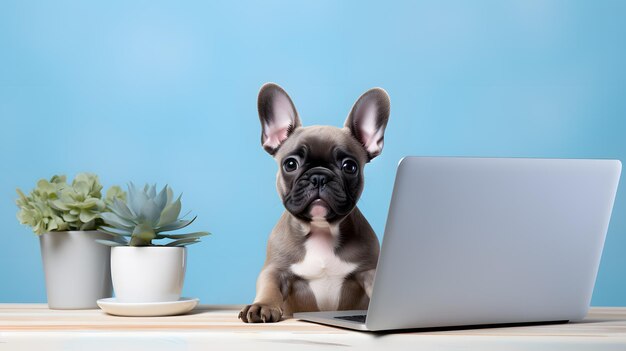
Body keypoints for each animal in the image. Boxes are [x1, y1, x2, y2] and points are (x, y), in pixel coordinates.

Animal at [238, 83, 388, 324]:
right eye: (290, 164)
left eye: (350, 166)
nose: (319, 176)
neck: (321, 230)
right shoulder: (275, 270)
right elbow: (269, 286)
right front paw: (263, 306)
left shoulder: (370, 271)